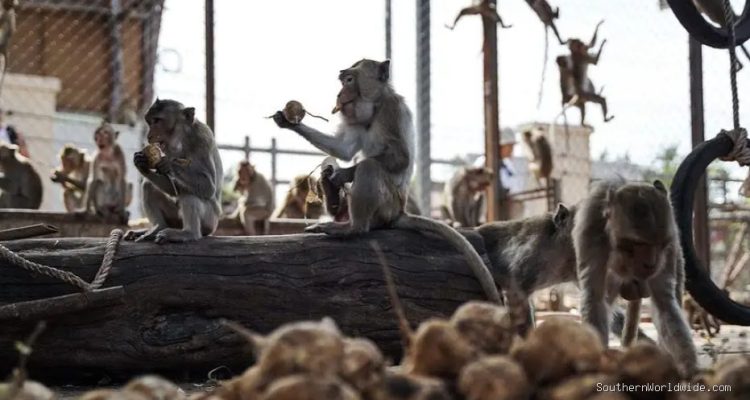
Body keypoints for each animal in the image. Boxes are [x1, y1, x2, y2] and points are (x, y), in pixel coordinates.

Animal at [124, 99, 223, 244]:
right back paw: (158, 227)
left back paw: (189, 233)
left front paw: (169, 163)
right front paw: (141, 163)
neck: (183, 139)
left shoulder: (203, 138)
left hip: (210, 222)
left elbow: (208, 187)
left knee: (189, 193)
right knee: (148, 186)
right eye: (150, 121)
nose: (149, 135)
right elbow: (172, 189)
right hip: (175, 220)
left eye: (157, 120)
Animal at [272, 59, 501, 303]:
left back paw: (353, 228)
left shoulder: (391, 111)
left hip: (386, 206)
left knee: (369, 168)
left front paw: (343, 175)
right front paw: (289, 122)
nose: (339, 94)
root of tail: (399, 212)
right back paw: (330, 192)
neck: (375, 107)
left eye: (349, 80)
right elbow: (342, 149)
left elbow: (399, 158)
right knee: (333, 163)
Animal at [572, 179, 697, 376]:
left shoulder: (670, 245)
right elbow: (595, 298)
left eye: (660, 244)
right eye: (638, 243)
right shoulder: (591, 233)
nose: (651, 264)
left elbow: (664, 304)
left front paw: (689, 368)